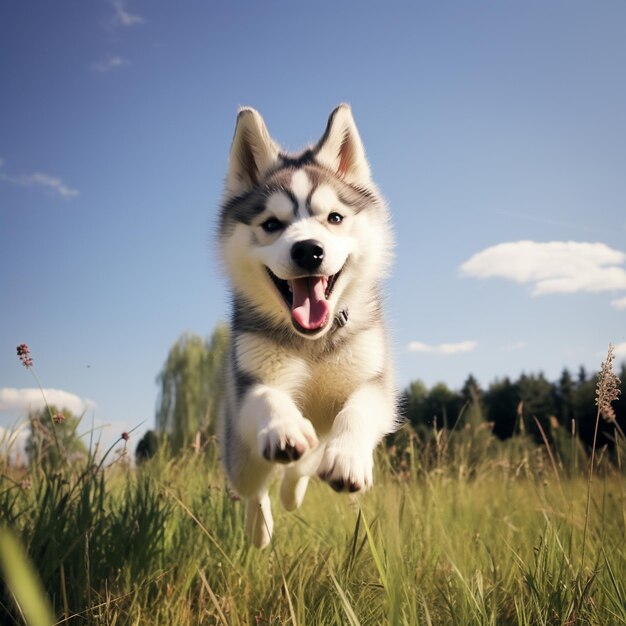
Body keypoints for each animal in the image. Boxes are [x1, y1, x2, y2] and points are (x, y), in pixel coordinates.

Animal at [219, 105, 394, 544]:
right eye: (271, 224)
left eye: (334, 217)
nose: (309, 251)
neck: (312, 341)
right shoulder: (251, 379)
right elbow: (268, 397)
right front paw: (284, 428)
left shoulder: (374, 380)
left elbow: (360, 408)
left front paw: (348, 459)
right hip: (241, 456)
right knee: (254, 486)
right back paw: (259, 527)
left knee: (302, 467)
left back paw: (294, 492)